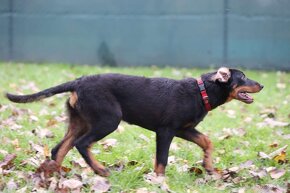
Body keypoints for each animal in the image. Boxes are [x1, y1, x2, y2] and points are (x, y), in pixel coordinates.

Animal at [5, 66, 262, 176]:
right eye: (243, 77)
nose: (261, 85)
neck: (201, 91)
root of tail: (78, 81)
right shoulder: (166, 131)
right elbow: (162, 161)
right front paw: (159, 182)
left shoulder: (184, 130)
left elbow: (207, 141)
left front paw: (208, 167)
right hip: (108, 120)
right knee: (81, 144)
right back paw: (100, 170)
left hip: (80, 121)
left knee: (60, 148)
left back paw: (55, 176)